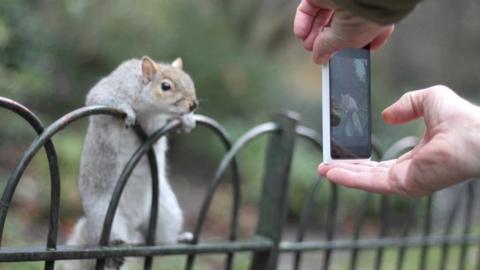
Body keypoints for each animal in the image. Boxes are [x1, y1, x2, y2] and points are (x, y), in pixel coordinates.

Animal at [60, 56, 199, 268]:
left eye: (190, 80)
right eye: (165, 86)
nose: (193, 105)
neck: (150, 110)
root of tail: (134, 223)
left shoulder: (154, 122)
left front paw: (187, 120)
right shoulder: (110, 89)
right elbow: (98, 98)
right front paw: (126, 110)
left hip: (166, 211)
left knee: (161, 242)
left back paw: (178, 239)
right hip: (105, 216)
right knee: (112, 237)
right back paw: (116, 247)